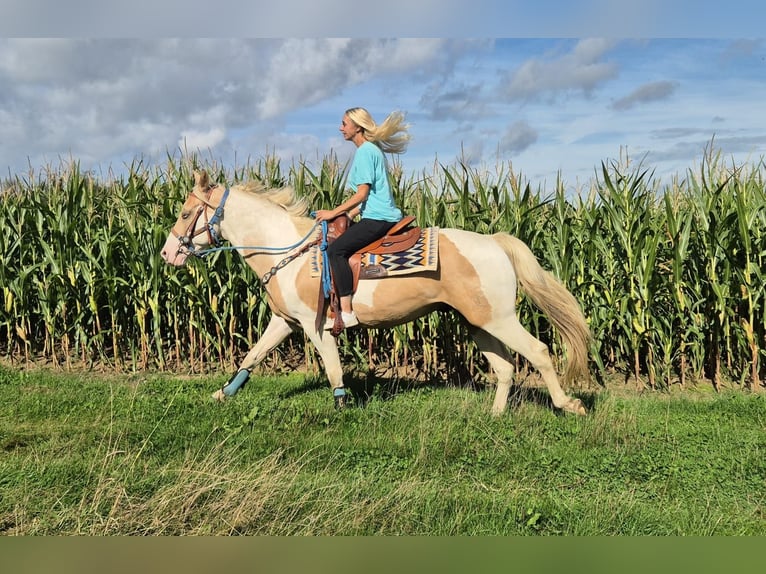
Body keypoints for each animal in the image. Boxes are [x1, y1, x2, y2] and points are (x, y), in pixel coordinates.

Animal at [160, 170, 590, 416]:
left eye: (185, 213)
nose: (166, 253)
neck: (287, 252)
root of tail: (495, 241)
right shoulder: (284, 321)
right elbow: (253, 355)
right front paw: (223, 394)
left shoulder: (316, 325)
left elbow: (333, 367)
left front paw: (341, 405)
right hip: (479, 322)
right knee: (505, 367)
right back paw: (496, 415)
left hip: (499, 318)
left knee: (538, 351)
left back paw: (568, 404)